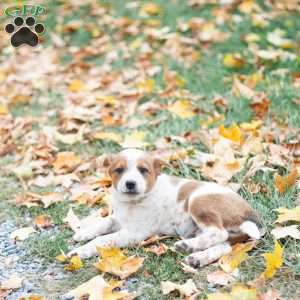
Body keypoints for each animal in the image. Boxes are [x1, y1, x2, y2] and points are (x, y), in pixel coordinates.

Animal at [69, 148, 260, 268]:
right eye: (119, 170)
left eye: (143, 170)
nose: (130, 184)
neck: (131, 203)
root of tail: (251, 215)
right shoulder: (119, 218)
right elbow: (105, 222)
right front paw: (83, 232)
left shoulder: (134, 232)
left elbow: (102, 240)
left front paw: (80, 251)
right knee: (223, 245)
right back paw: (196, 257)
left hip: (197, 201)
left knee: (218, 233)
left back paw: (186, 245)